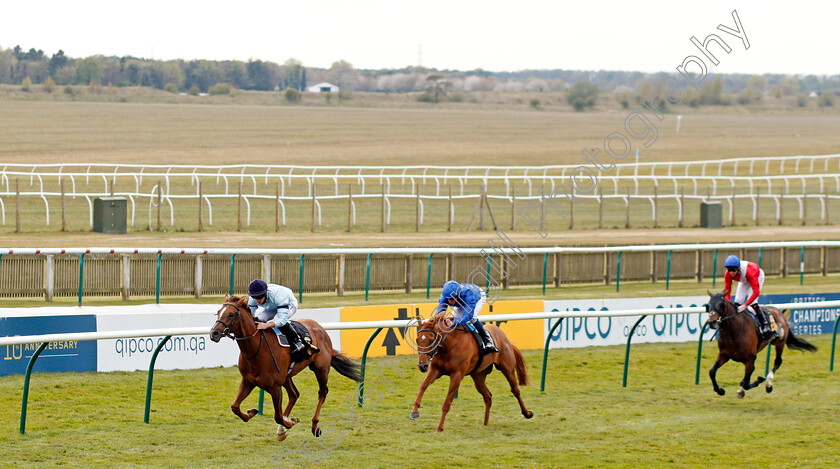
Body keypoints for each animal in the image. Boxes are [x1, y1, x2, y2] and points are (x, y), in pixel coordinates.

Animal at [210, 296, 360, 438]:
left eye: (231, 314)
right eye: (218, 312)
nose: (214, 333)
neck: (256, 350)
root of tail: (320, 328)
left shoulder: (275, 387)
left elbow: (277, 416)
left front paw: (290, 422)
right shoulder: (248, 381)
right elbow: (235, 406)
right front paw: (252, 412)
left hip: (321, 369)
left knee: (322, 393)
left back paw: (314, 426)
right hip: (287, 375)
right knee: (294, 394)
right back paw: (281, 430)